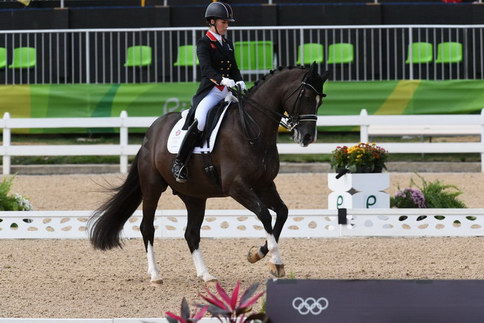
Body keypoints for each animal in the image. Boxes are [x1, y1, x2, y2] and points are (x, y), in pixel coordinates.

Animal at [89, 63, 328, 284]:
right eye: (307, 96)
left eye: (320, 100)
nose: (308, 137)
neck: (251, 128)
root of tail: (150, 134)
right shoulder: (236, 186)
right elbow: (265, 214)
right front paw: (275, 263)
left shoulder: (265, 184)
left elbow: (282, 213)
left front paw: (257, 255)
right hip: (152, 187)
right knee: (147, 228)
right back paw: (156, 275)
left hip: (194, 196)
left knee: (191, 233)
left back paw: (206, 275)